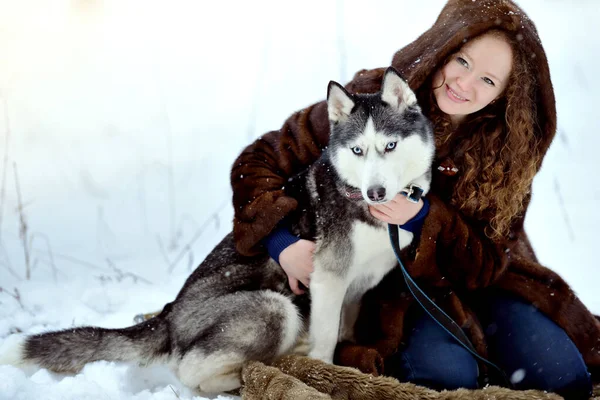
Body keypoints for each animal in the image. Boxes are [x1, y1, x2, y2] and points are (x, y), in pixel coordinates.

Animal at [0, 68, 432, 390]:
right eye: (358, 150)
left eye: (390, 146)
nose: (375, 192)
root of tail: (170, 316)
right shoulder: (327, 280)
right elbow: (326, 342)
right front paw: (324, 369)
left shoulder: (355, 290)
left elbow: (346, 332)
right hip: (275, 307)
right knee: (191, 370)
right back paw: (245, 377)